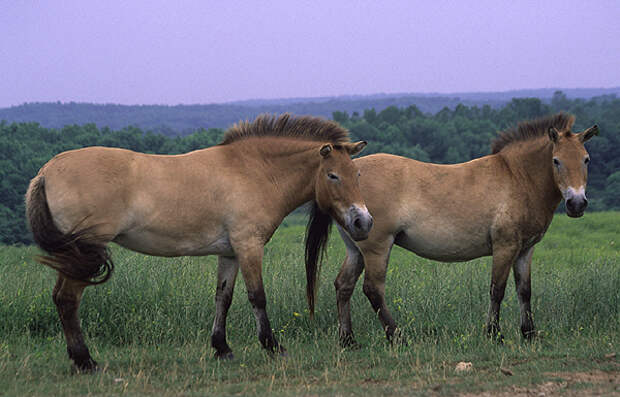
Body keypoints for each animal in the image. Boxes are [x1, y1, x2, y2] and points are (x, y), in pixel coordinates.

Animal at [25, 113, 372, 372]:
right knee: (68, 300)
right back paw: (86, 361)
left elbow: (223, 298)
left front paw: (222, 348)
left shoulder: (230, 253)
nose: (363, 222)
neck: (254, 171)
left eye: (357, 174)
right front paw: (272, 346)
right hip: (82, 254)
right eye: (332, 175)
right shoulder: (249, 246)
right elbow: (257, 297)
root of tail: (46, 171)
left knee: (61, 298)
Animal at [324, 113, 596, 344]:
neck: (518, 177)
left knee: (343, 285)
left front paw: (528, 333)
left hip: (356, 249)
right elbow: (497, 290)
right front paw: (494, 334)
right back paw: (396, 336)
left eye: (586, 159)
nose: (576, 203)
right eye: (556, 161)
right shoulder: (505, 247)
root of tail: (352, 173)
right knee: (373, 289)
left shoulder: (524, 250)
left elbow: (524, 291)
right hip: (377, 247)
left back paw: (347, 340)